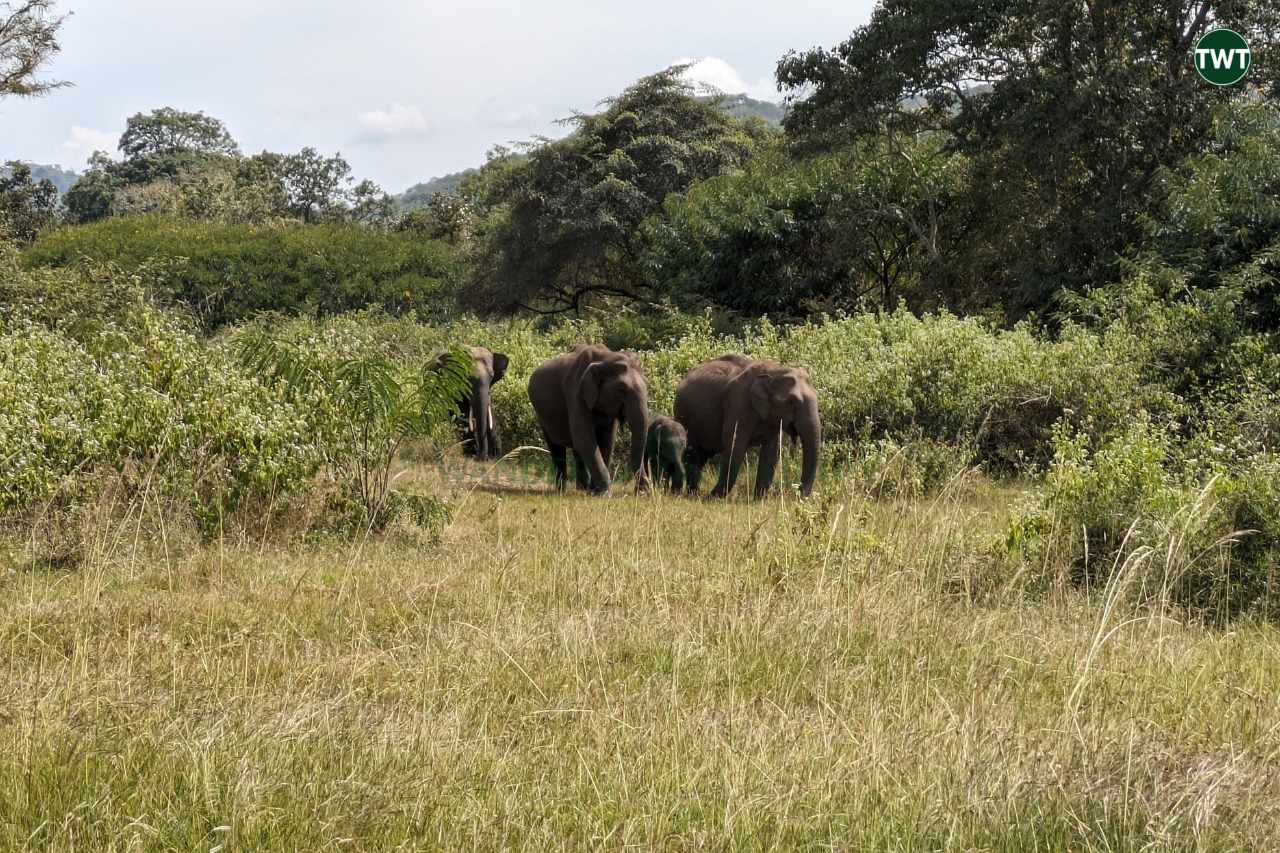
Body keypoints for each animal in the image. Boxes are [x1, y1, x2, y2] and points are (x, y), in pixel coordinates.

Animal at [527, 343, 650, 491]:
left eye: (647, 385)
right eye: (621, 389)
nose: (642, 491)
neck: (605, 358)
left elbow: (607, 440)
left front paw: (594, 490)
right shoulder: (575, 392)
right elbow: (584, 438)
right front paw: (602, 492)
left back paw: (582, 488)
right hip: (541, 415)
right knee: (556, 447)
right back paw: (561, 490)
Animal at [675, 353, 824, 499]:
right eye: (791, 402)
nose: (799, 495)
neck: (774, 371)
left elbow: (771, 451)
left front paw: (758, 500)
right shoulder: (738, 403)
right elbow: (736, 446)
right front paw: (712, 498)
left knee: (701, 455)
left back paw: (693, 494)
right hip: (683, 415)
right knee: (692, 453)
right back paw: (693, 495)